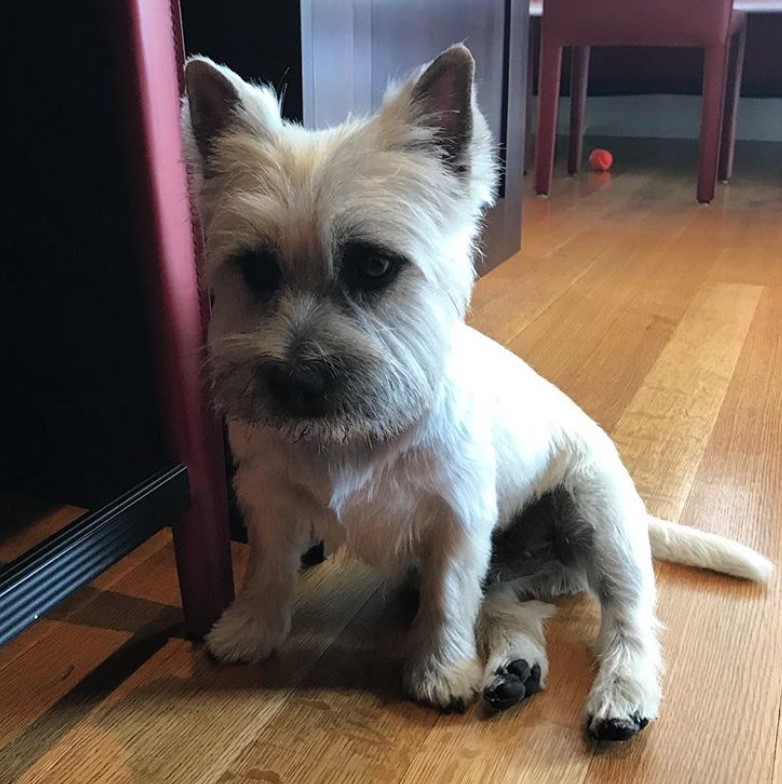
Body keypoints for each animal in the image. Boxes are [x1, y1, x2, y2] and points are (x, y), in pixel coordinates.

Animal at [181, 44, 776, 740]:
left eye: (374, 266)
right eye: (256, 269)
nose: (298, 382)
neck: (357, 431)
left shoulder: (456, 522)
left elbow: (447, 600)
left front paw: (439, 672)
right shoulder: (270, 498)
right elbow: (268, 571)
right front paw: (249, 630)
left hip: (602, 521)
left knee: (628, 619)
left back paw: (621, 693)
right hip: (510, 566)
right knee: (512, 610)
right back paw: (513, 669)